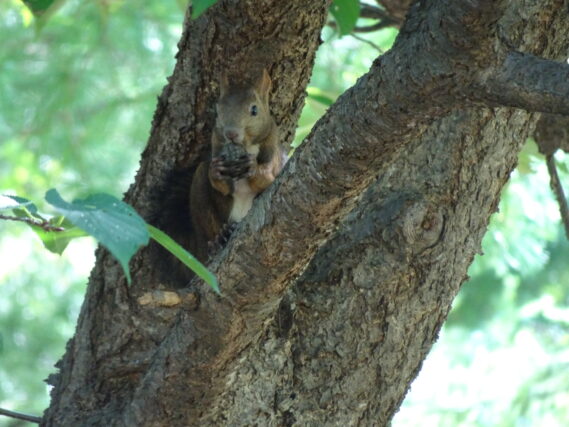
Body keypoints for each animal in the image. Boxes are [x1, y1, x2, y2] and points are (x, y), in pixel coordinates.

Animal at [186, 69, 284, 264]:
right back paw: (219, 237)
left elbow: (268, 178)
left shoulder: (274, 153)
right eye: (218, 110)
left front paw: (253, 167)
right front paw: (216, 171)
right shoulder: (216, 144)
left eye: (254, 110)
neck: (246, 146)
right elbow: (221, 186)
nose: (231, 133)